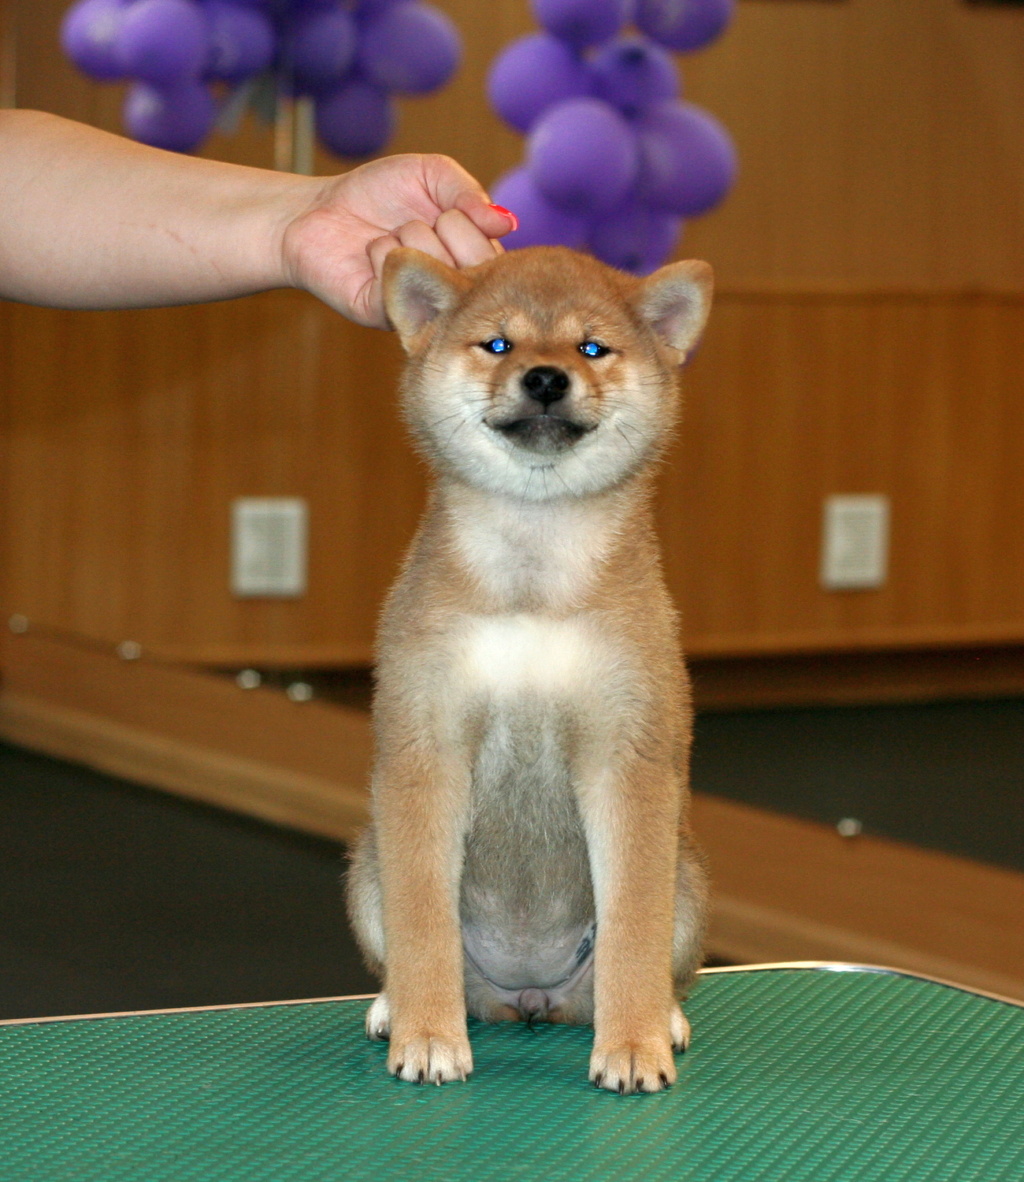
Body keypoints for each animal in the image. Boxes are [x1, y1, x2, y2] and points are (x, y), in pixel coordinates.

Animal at [345, 244, 709, 1092]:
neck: (532, 581)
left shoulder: (628, 754)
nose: (546, 378)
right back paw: (393, 1007)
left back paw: (664, 1018)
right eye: (499, 344)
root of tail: (529, 996)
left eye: (591, 347)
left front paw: (634, 1042)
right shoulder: (426, 747)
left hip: (688, 882)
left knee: (660, 959)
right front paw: (428, 1033)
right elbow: (423, 924)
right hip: (366, 867)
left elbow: (633, 931)